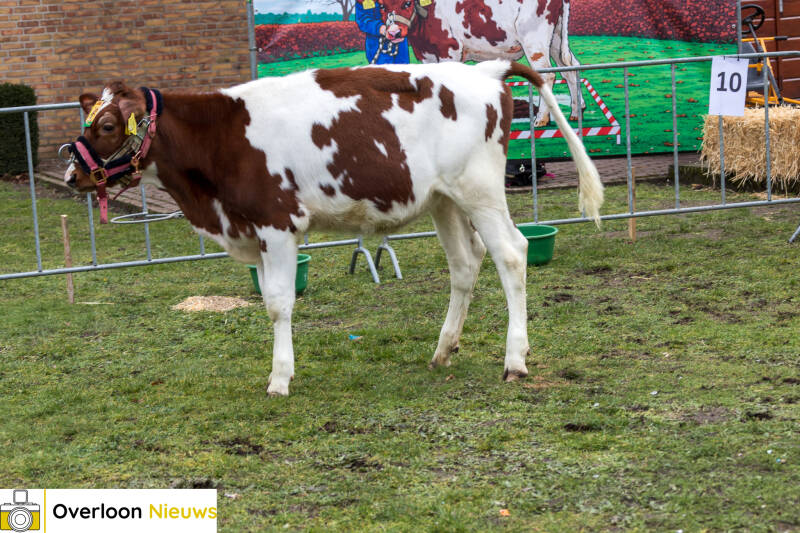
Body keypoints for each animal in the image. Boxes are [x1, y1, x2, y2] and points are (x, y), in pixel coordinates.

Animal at [64, 60, 603, 396]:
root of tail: (485, 70)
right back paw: (442, 350)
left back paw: (515, 360)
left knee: (511, 253)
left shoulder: (277, 224)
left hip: (481, 190)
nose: (72, 174)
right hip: (444, 199)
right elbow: (270, 299)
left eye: (108, 126)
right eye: (89, 119)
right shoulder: (255, 230)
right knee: (465, 264)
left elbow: (278, 303)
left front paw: (280, 378)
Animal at [357, 0, 584, 126]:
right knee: (570, 67)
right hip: (555, 38)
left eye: (406, 3)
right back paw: (575, 111)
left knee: (548, 74)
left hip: (534, 38)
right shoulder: (427, 56)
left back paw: (541, 119)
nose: (394, 33)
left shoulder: (449, 50)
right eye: (381, 5)